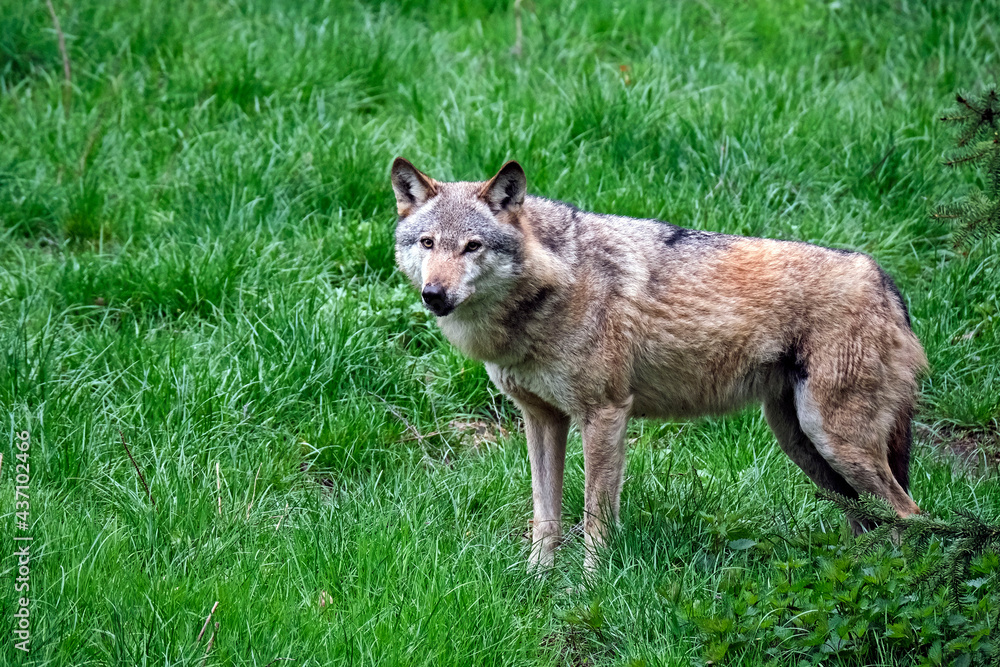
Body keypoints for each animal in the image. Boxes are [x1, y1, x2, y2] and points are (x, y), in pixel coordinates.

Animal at [391, 157, 927, 572]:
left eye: (473, 246)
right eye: (428, 243)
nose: (434, 294)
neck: (552, 286)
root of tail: (885, 281)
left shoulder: (605, 415)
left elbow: (595, 519)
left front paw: (588, 587)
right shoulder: (541, 419)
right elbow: (547, 514)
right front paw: (536, 582)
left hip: (832, 441)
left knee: (909, 514)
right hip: (803, 444)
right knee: (869, 519)